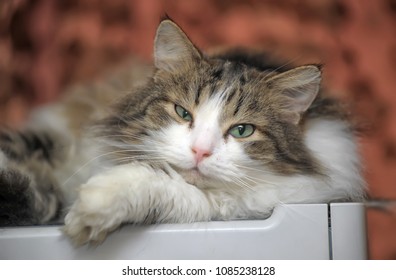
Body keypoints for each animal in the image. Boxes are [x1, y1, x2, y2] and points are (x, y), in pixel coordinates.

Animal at [0, 19, 366, 245]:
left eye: (242, 130)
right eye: (182, 112)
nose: (200, 151)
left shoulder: (235, 204)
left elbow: (155, 185)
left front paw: (92, 209)